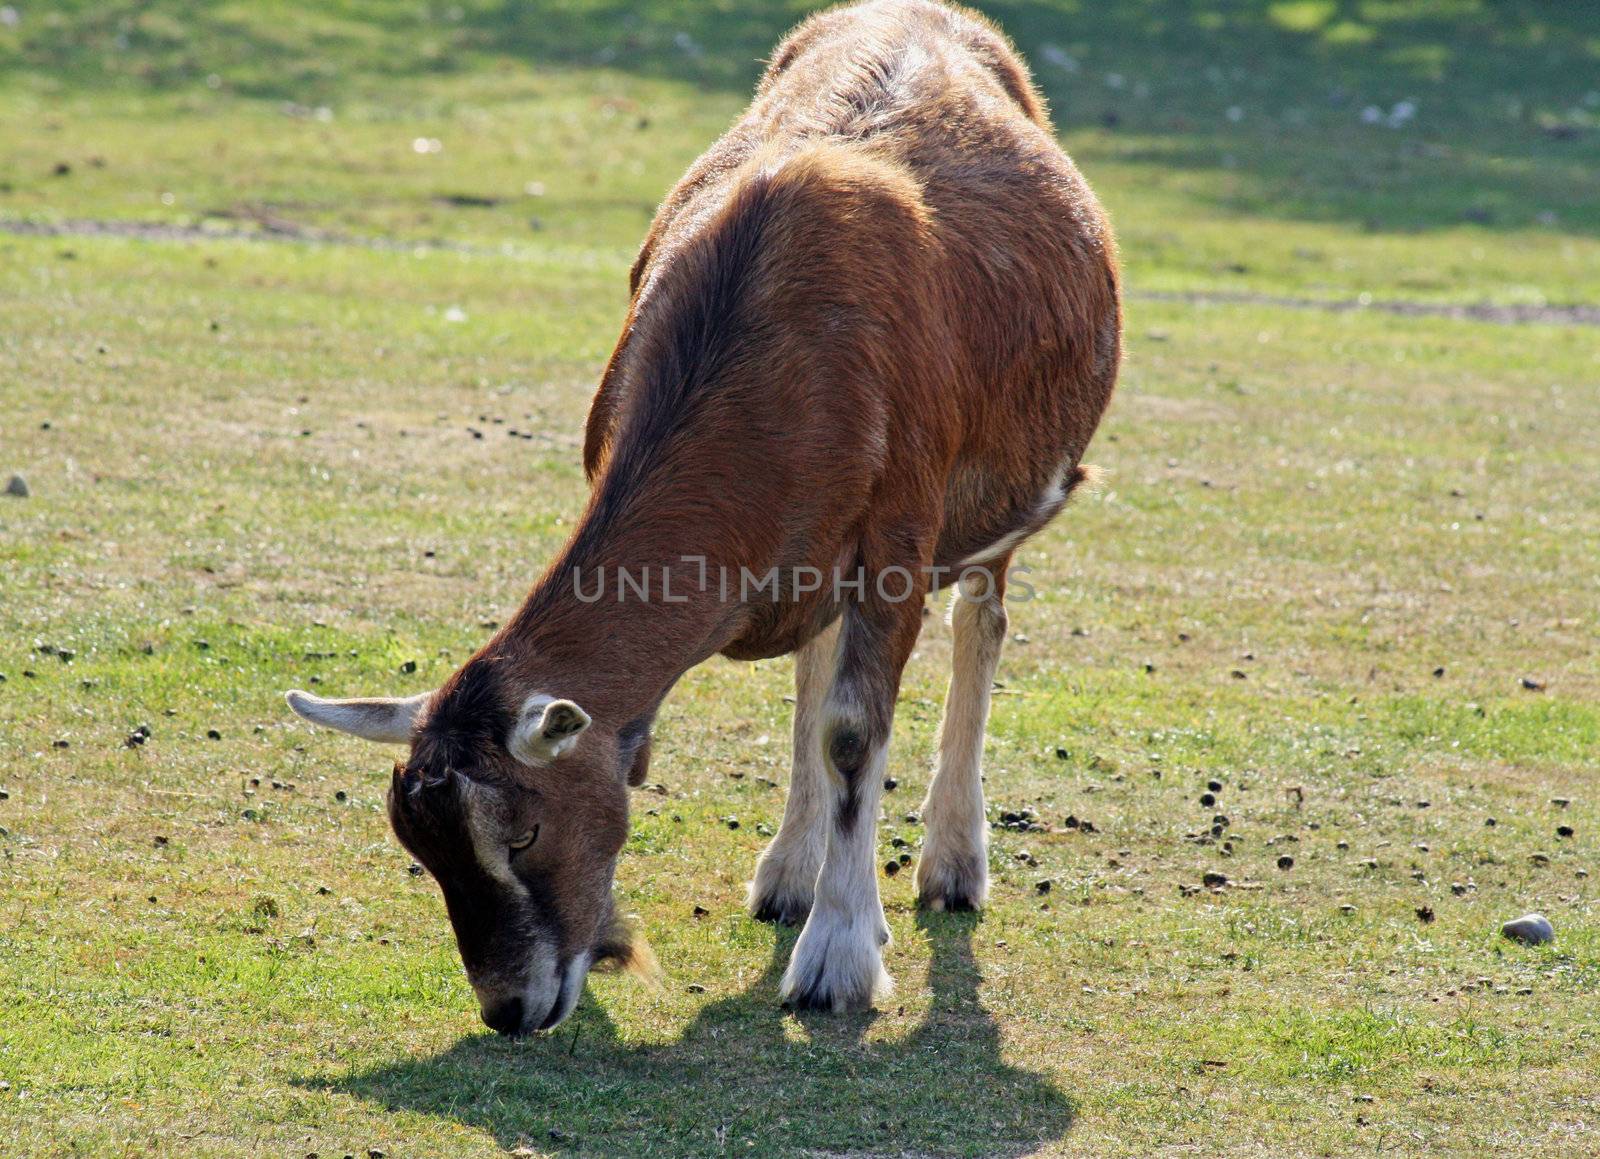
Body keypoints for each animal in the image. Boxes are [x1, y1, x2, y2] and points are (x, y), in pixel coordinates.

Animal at [288, 0, 1120, 1030]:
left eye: (522, 834)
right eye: (420, 846)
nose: (509, 1006)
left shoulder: (901, 531)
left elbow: (855, 730)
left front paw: (839, 959)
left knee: (982, 619)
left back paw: (954, 864)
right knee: (816, 656)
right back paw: (789, 872)